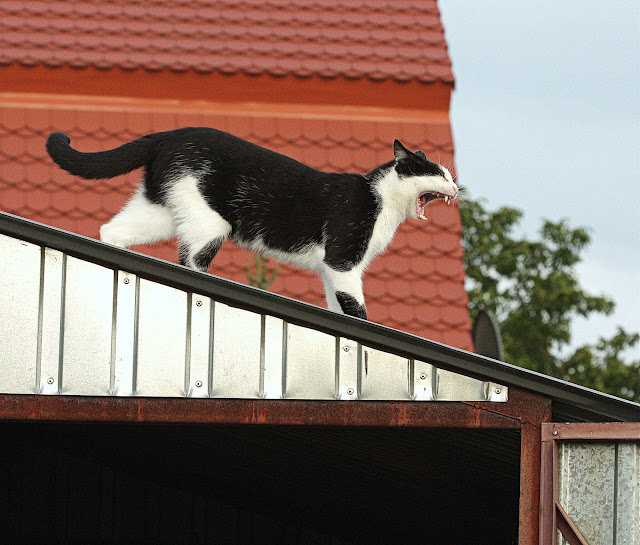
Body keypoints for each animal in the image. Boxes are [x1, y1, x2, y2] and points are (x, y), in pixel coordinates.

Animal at [46, 128, 458, 319]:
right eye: (437, 174)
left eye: (449, 176)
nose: (456, 187)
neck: (382, 199)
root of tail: (169, 135)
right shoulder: (343, 261)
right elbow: (357, 309)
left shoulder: (333, 272)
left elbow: (337, 306)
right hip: (210, 223)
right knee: (192, 261)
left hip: (160, 211)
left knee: (111, 230)